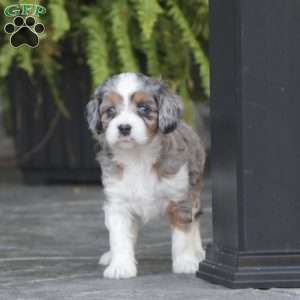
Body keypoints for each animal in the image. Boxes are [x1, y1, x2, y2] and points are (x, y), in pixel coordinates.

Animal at [85, 72, 205, 278]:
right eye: (110, 110)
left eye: (143, 108)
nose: (124, 127)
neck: (137, 156)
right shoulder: (117, 203)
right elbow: (119, 237)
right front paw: (121, 266)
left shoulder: (180, 198)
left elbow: (183, 236)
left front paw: (185, 262)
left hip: (195, 188)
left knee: (195, 221)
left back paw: (198, 252)